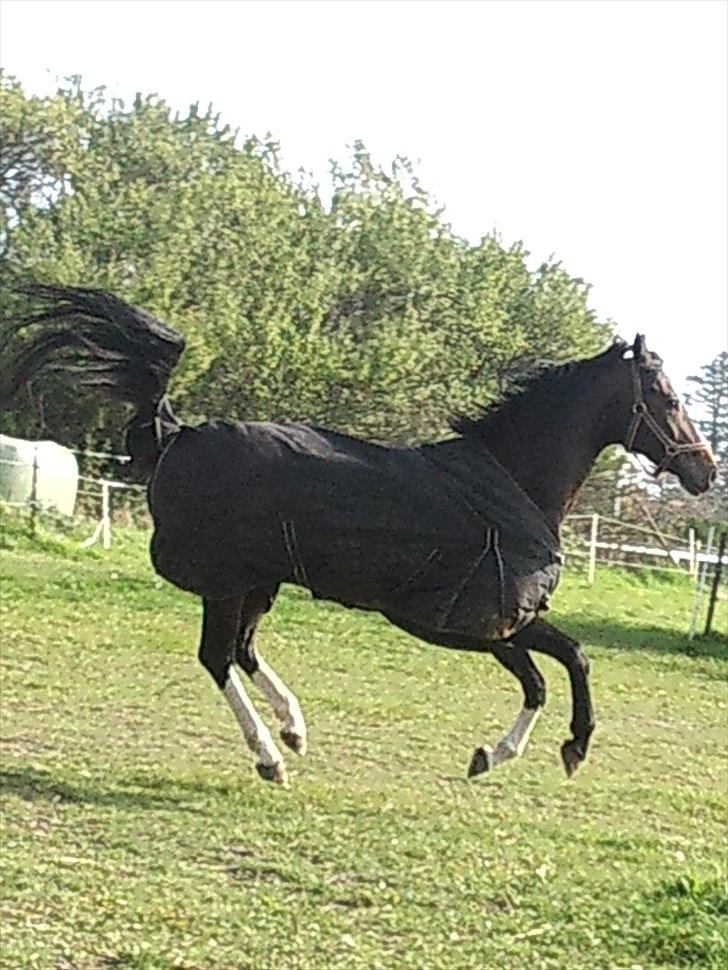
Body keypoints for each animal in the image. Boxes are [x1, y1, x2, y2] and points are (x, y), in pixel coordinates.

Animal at [2, 284, 712, 784]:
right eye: (667, 397)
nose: (704, 470)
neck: (512, 480)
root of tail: (177, 431)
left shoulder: (495, 626)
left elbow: (554, 669)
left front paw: (502, 754)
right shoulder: (481, 624)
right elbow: (564, 663)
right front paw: (552, 749)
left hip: (259, 583)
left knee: (242, 651)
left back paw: (294, 729)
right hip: (228, 583)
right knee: (217, 657)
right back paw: (270, 756)